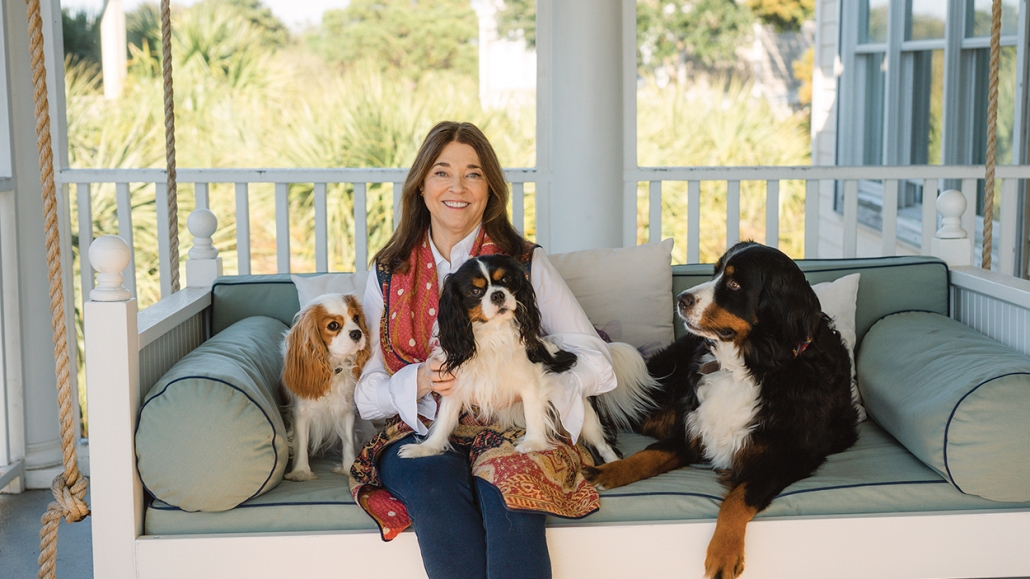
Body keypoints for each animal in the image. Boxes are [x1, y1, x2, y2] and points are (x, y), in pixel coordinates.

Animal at [585, 240, 856, 576]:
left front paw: (724, 552)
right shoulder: (693, 429)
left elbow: (740, 497)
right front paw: (609, 470)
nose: (682, 299)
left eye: (735, 284)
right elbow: (647, 456)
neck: (749, 368)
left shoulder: (787, 456)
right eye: (714, 273)